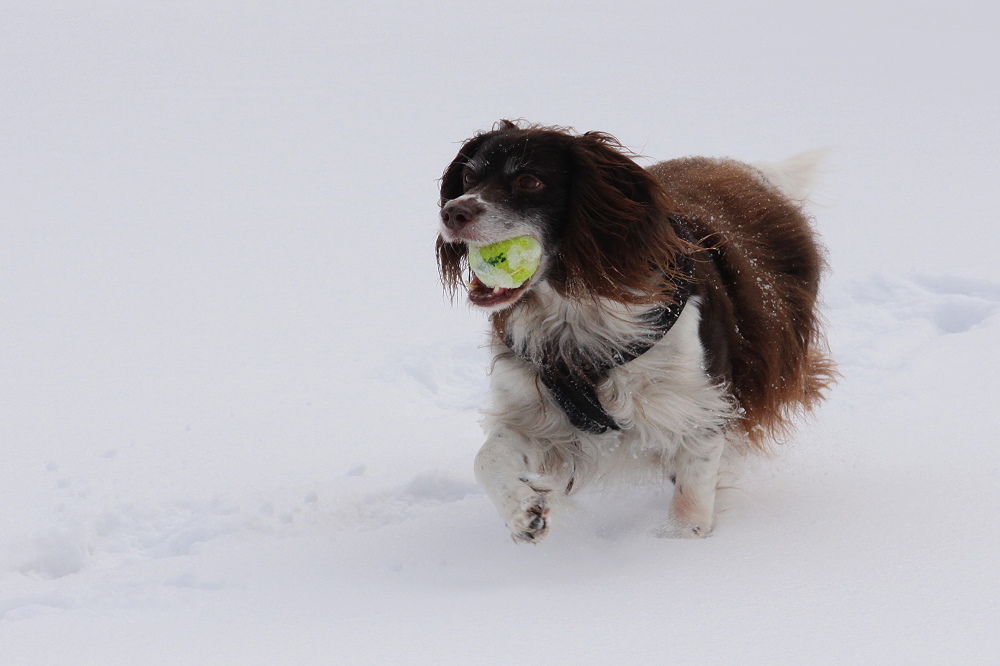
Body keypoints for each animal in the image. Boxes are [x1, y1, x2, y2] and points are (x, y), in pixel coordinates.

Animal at [438, 122, 836, 544]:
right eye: (469, 177)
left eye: (529, 181)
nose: (452, 212)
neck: (575, 308)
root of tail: (747, 170)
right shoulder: (532, 407)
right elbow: (487, 458)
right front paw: (522, 510)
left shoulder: (698, 404)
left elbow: (692, 493)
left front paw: (680, 542)